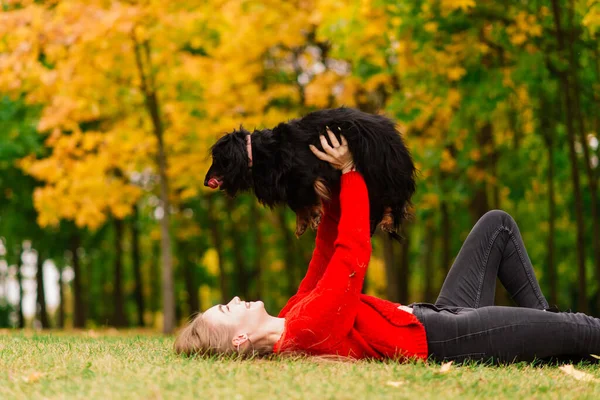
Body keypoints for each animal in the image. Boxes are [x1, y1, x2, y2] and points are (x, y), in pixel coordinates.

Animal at [204, 106, 414, 238]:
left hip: (381, 169)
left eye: (217, 159)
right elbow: (296, 205)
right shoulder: (289, 184)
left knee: (393, 198)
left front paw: (312, 218)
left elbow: (305, 200)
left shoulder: (302, 176)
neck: (258, 152)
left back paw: (388, 220)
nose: (206, 182)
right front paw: (302, 224)